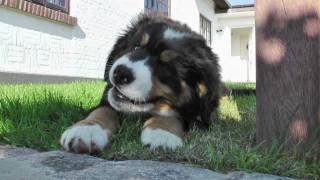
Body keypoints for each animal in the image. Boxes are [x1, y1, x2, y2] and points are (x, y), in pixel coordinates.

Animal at [60, 14, 221, 154]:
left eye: (166, 67)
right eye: (136, 47)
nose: (120, 74)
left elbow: (172, 114)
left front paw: (162, 133)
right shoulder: (108, 97)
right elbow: (103, 110)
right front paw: (87, 130)